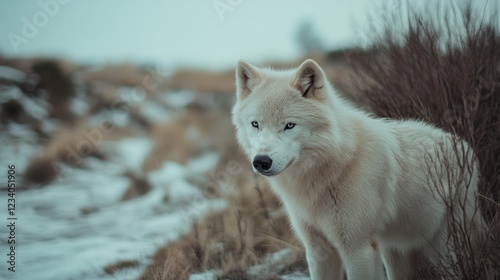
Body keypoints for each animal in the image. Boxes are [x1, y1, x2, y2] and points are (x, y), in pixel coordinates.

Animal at [232, 58, 486, 278]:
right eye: (255, 124)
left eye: (289, 126)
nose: (261, 161)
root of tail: (465, 146)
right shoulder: (318, 250)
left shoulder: (357, 248)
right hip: (393, 251)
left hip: (443, 248)